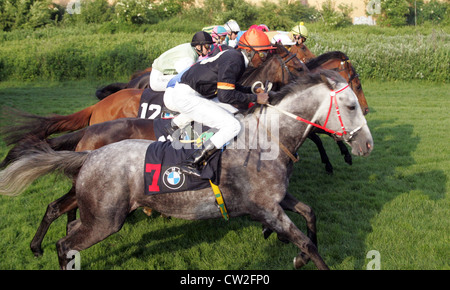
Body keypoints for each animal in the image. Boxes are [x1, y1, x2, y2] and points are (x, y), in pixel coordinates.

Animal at [0, 70, 372, 270]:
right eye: (351, 105)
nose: (366, 145)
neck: (266, 139)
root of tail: (91, 153)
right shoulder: (266, 207)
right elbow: (307, 244)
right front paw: (298, 253)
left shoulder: (276, 199)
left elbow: (309, 213)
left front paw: (295, 256)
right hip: (105, 221)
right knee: (64, 241)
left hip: (99, 214)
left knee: (67, 224)